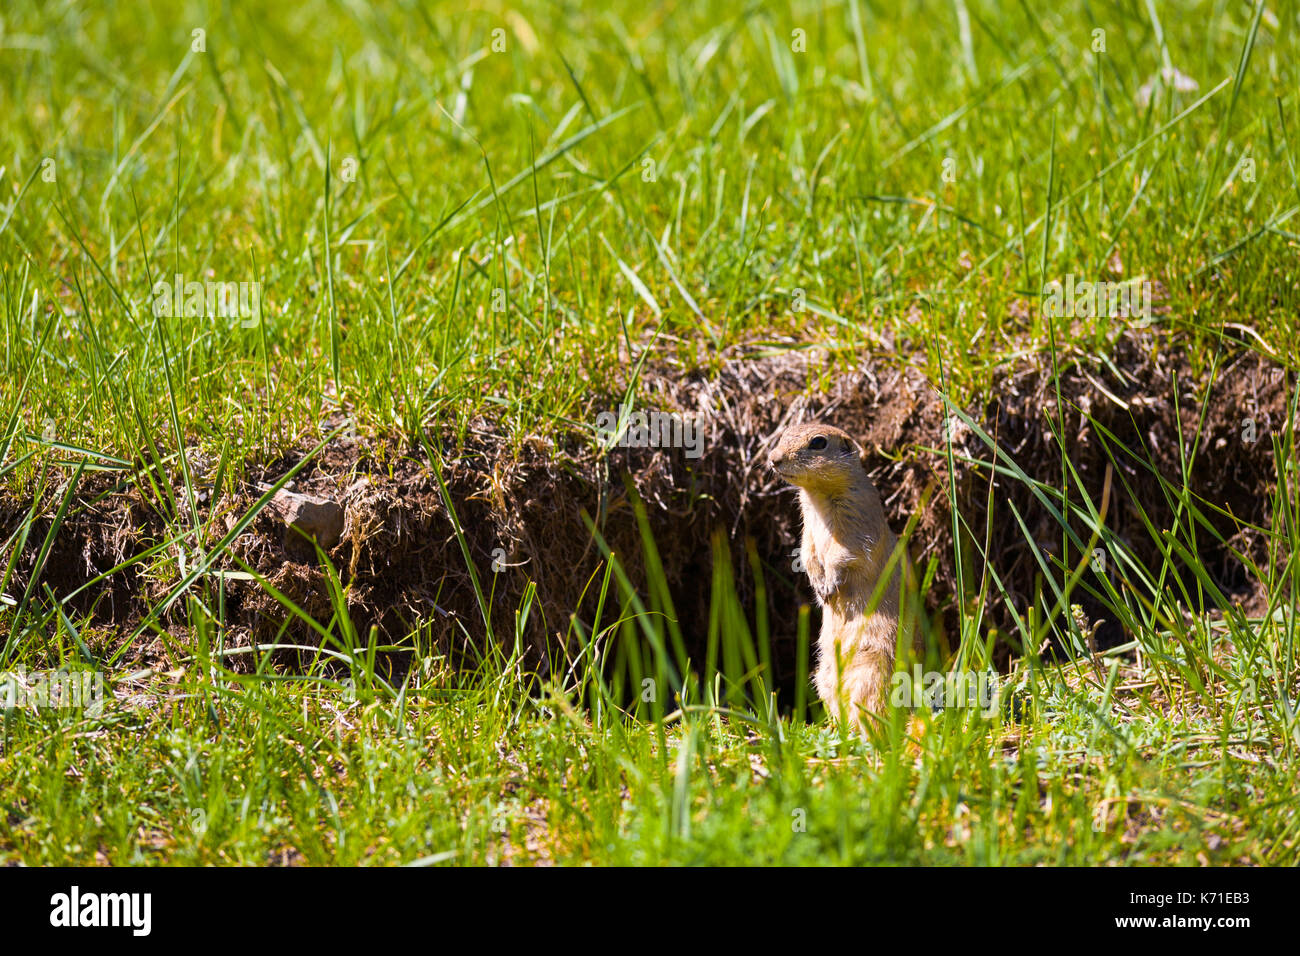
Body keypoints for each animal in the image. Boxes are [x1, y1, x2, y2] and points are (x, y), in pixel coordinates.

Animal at [769, 421, 915, 728]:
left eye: (818, 442)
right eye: (785, 432)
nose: (773, 459)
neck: (817, 497)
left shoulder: (855, 523)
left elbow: (843, 555)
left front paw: (830, 588)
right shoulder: (808, 531)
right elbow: (808, 553)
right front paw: (819, 589)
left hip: (873, 669)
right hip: (823, 675)